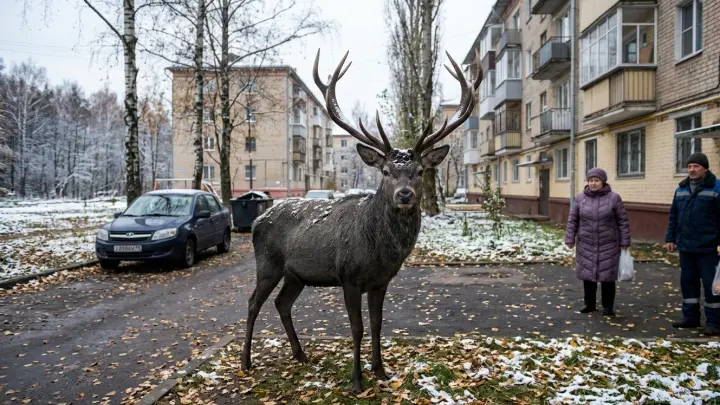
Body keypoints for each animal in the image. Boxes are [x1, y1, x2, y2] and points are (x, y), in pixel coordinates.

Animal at [241, 48, 481, 393]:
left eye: (420, 170)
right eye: (386, 171)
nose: (405, 195)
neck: (379, 252)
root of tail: (258, 219)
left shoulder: (381, 281)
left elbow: (378, 325)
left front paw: (380, 370)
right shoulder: (349, 277)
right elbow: (357, 328)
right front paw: (356, 379)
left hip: (296, 274)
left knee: (282, 303)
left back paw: (300, 354)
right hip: (268, 263)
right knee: (252, 303)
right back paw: (246, 362)